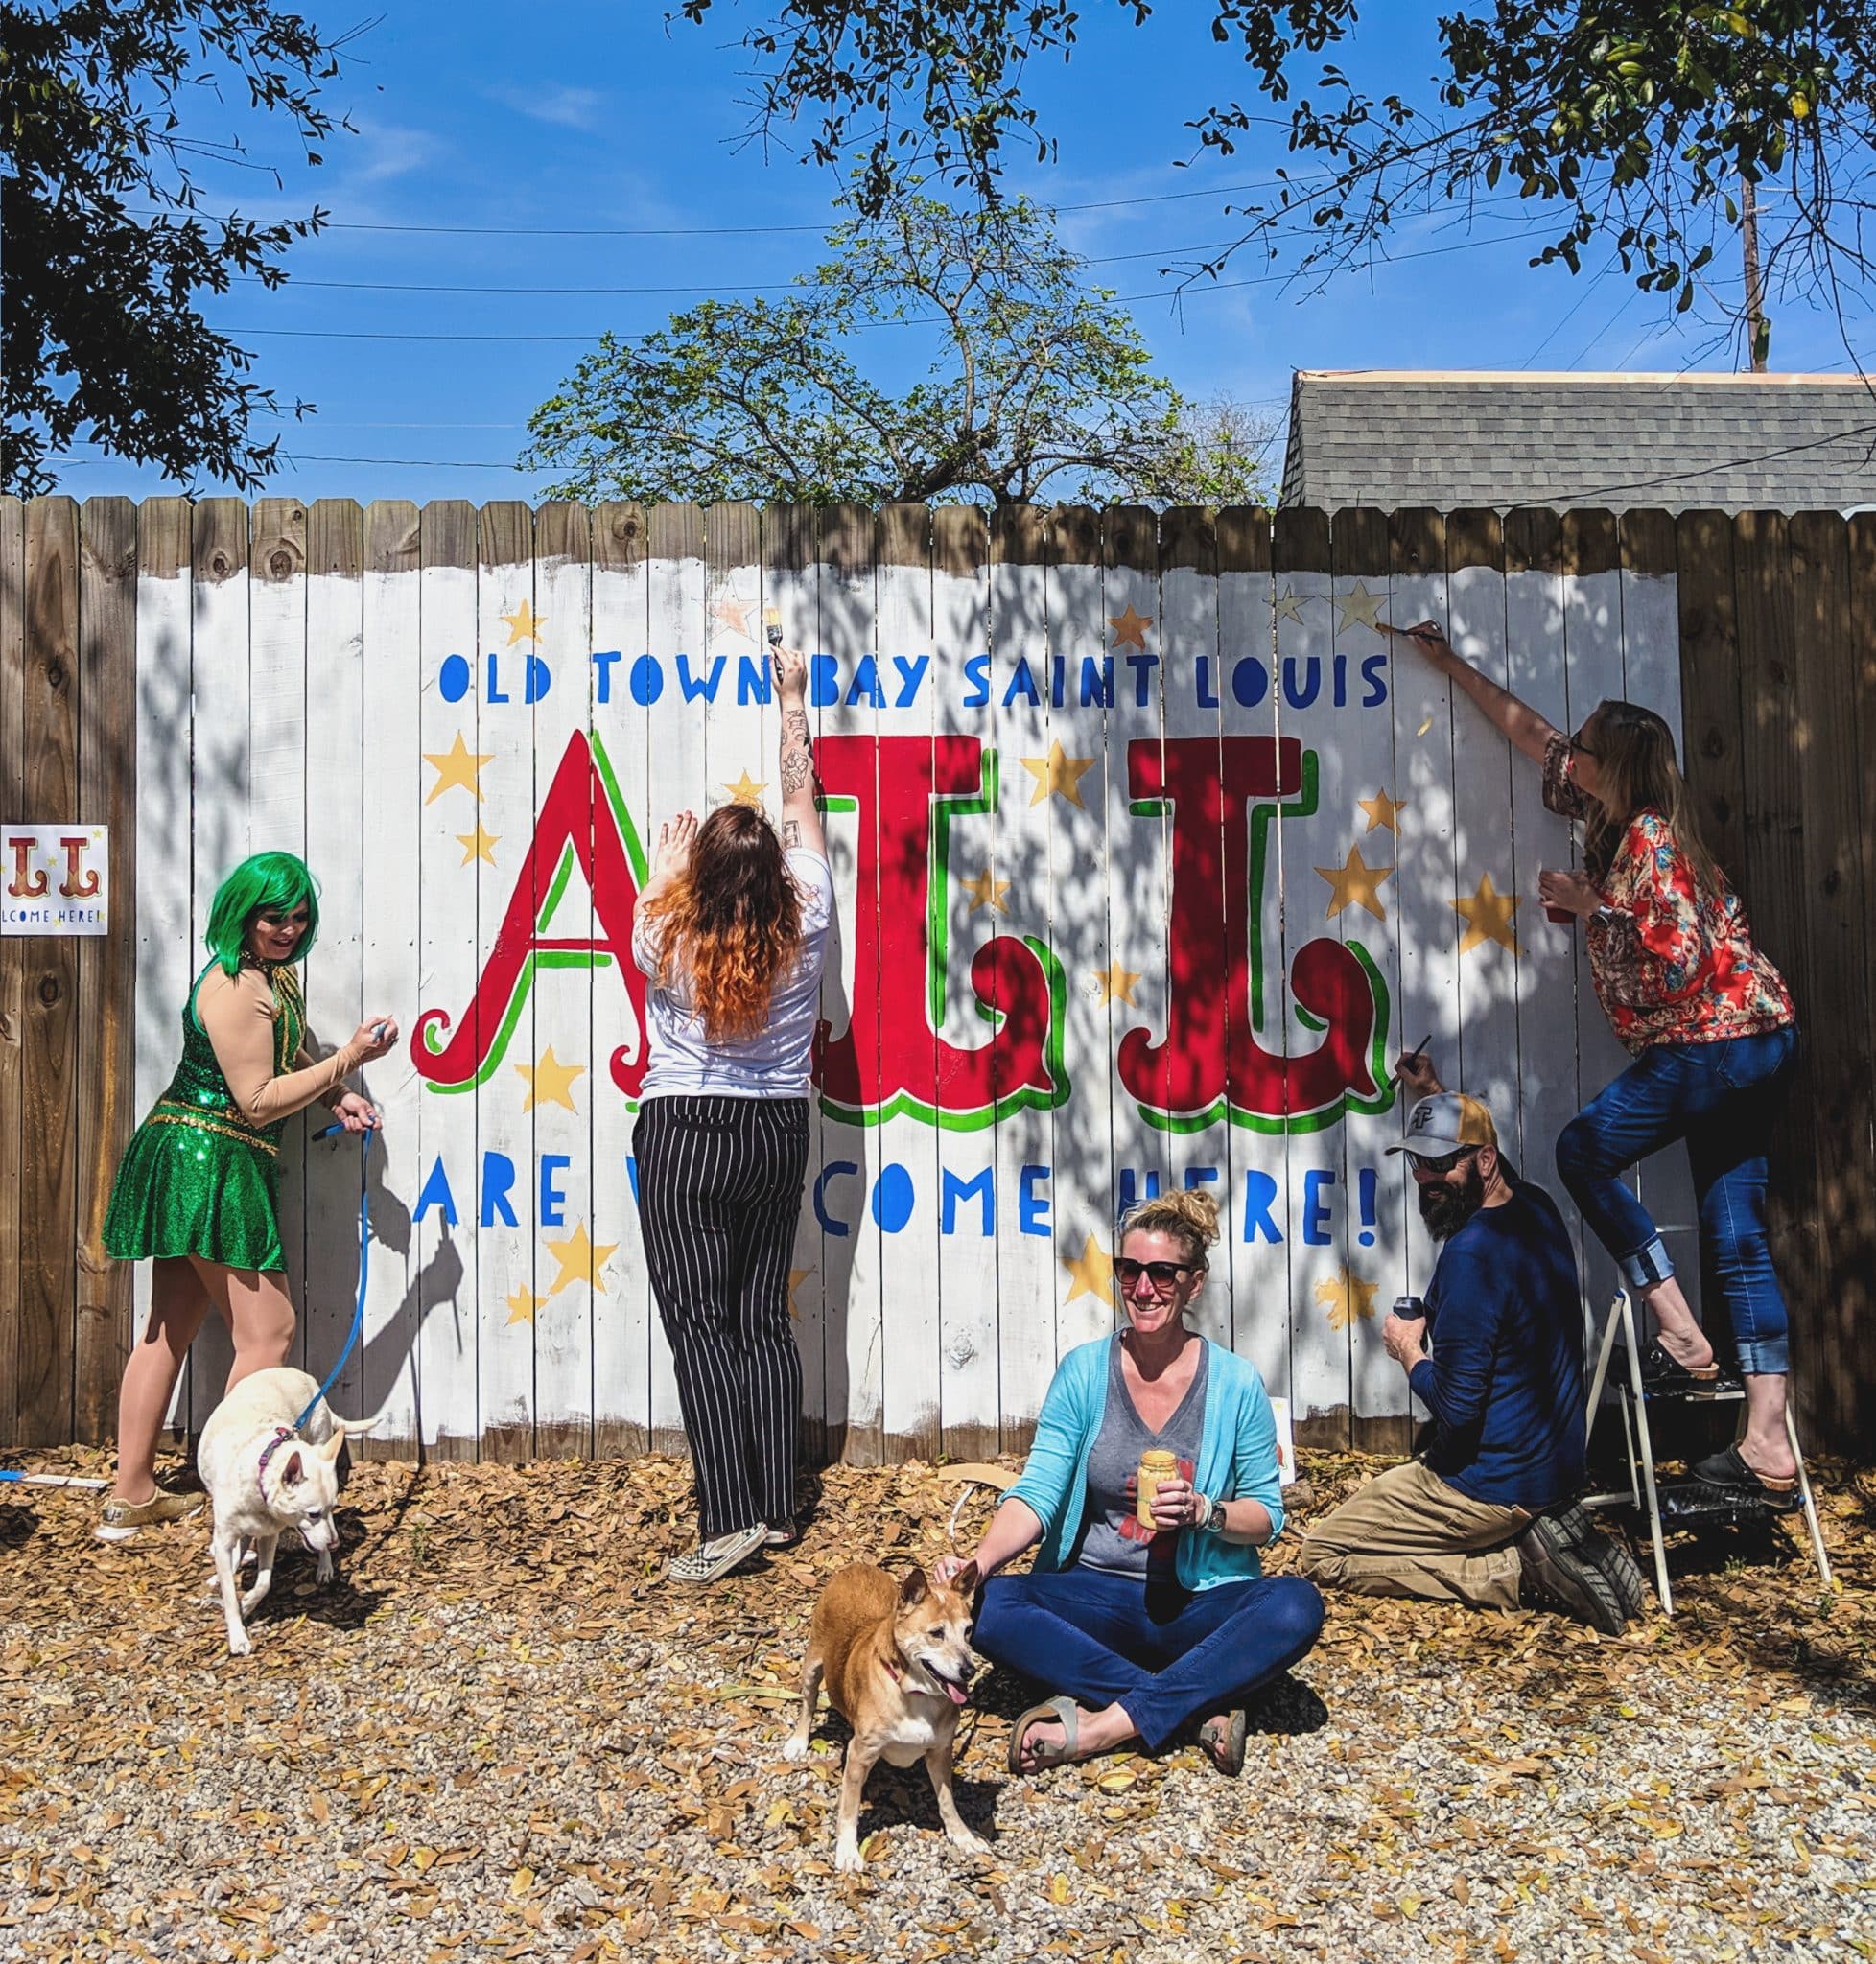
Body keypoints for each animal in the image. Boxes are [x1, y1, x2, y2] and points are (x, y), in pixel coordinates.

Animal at [195, 1367, 382, 1655]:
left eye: (331, 1508)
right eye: (313, 1514)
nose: (335, 1543)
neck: (259, 1472)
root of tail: (300, 1374)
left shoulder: (269, 1535)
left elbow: (264, 1583)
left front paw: (248, 1603)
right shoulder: (227, 1536)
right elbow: (229, 1589)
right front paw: (238, 1635)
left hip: (320, 1436)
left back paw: (325, 1567)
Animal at [783, 1561, 988, 1873]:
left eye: (968, 1631)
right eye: (936, 1633)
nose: (968, 1671)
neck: (915, 1693)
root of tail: (857, 1565)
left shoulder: (941, 1751)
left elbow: (947, 1801)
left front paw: (963, 1836)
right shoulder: (860, 1754)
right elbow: (849, 1809)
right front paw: (847, 1851)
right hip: (813, 1663)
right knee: (808, 1703)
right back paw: (798, 1742)